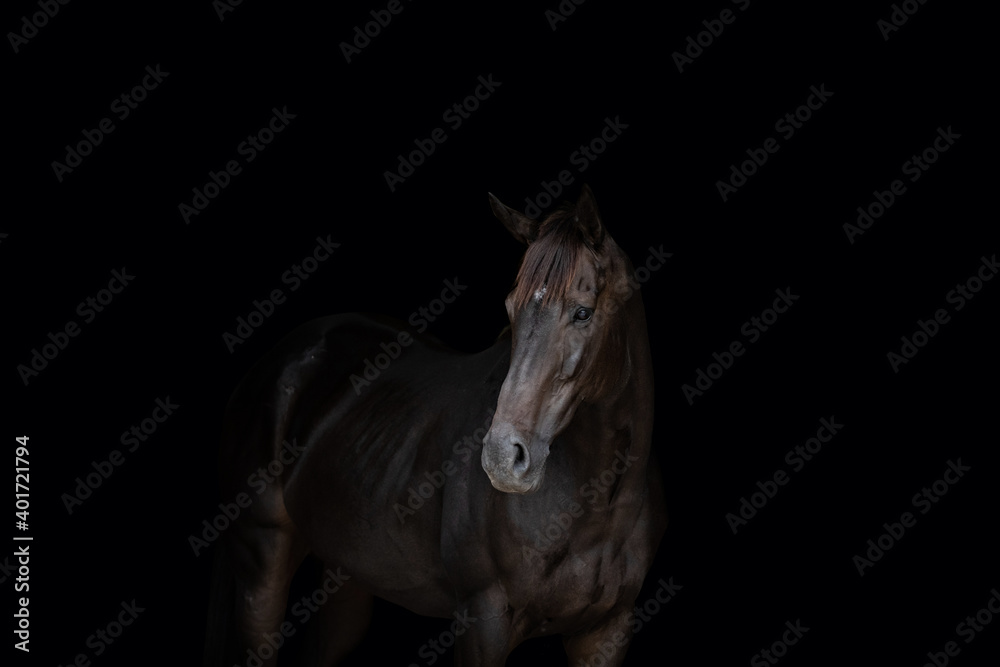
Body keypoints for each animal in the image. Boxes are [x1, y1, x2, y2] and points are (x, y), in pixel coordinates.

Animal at [203, 185, 667, 666]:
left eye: (582, 313)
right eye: (511, 308)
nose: (501, 457)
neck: (598, 507)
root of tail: (276, 361)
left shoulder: (606, 630)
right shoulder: (483, 621)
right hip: (261, 561)